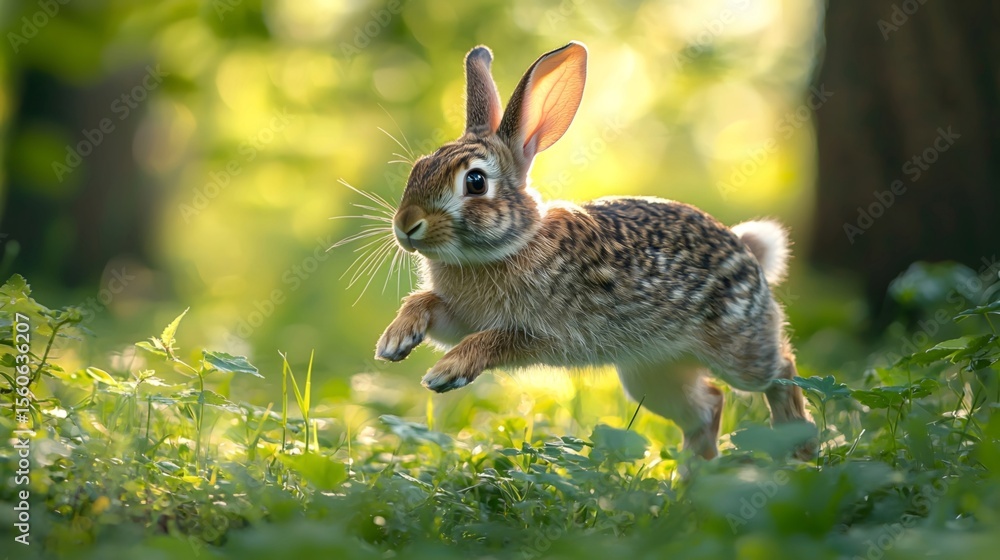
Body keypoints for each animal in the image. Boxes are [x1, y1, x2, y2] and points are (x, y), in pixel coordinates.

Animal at [373, 41, 815, 460]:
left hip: (737, 352)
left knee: (780, 369)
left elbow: (492, 340)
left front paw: (446, 371)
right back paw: (690, 479)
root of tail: (747, 251)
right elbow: (428, 304)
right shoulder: (459, 316)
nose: (406, 224)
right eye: (419, 167)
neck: (511, 244)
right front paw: (395, 340)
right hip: (650, 374)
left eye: (476, 182)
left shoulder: (545, 333)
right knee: (709, 405)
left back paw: (800, 447)